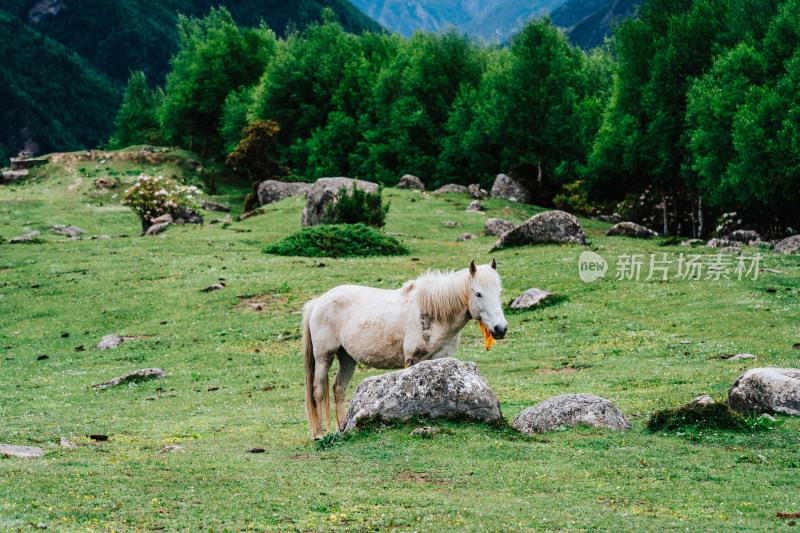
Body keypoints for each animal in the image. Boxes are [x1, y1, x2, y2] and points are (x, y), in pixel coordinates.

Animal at [300, 260, 506, 438]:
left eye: (500, 291)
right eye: (478, 294)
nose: (501, 328)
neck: (434, 312)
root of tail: (318, 301)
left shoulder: (438, 359)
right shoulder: (413, 358)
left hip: (347, 357)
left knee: (339, 389)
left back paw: (343, 428)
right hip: (324, 355)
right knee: (318, 390)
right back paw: (319, 435)